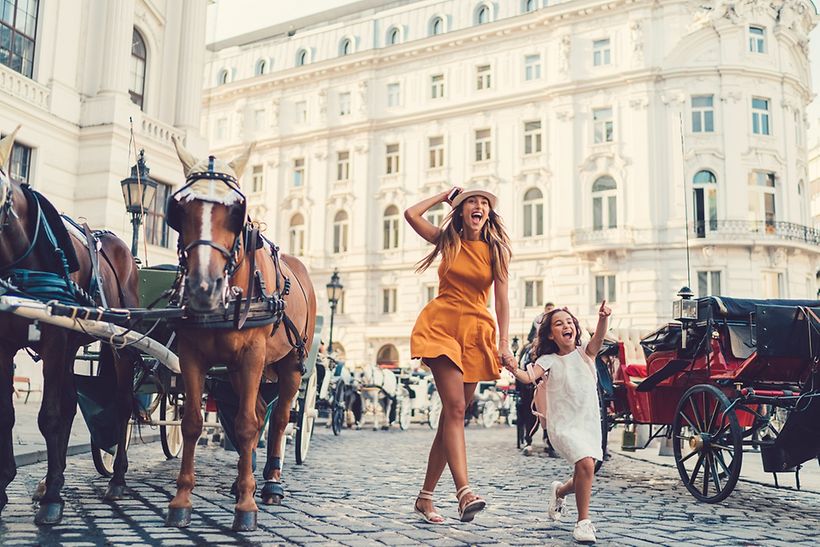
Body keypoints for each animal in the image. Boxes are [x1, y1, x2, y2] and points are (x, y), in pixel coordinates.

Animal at [0, 126, 141, 524]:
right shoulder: (6, 344)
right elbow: (11, 414)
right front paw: (13, 485)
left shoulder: (54, 341)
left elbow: (49, 416)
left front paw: (52, 500)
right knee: (68, 403)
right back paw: (52, 479)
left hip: (120, 346)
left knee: (122, 404)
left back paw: (117, 478)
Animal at [165, 138, 316, 536]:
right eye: (179, 210)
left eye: (236, 211)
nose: (203, 288)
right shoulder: (192, 355)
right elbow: (192, 423)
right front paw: (182, 500)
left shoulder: (252, 355)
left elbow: (248, 426)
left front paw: (246, 507)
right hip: (236, 371)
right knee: (261, 411)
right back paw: (241, 480)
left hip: (290, 364)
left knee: (278, 418)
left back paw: (272, 482)